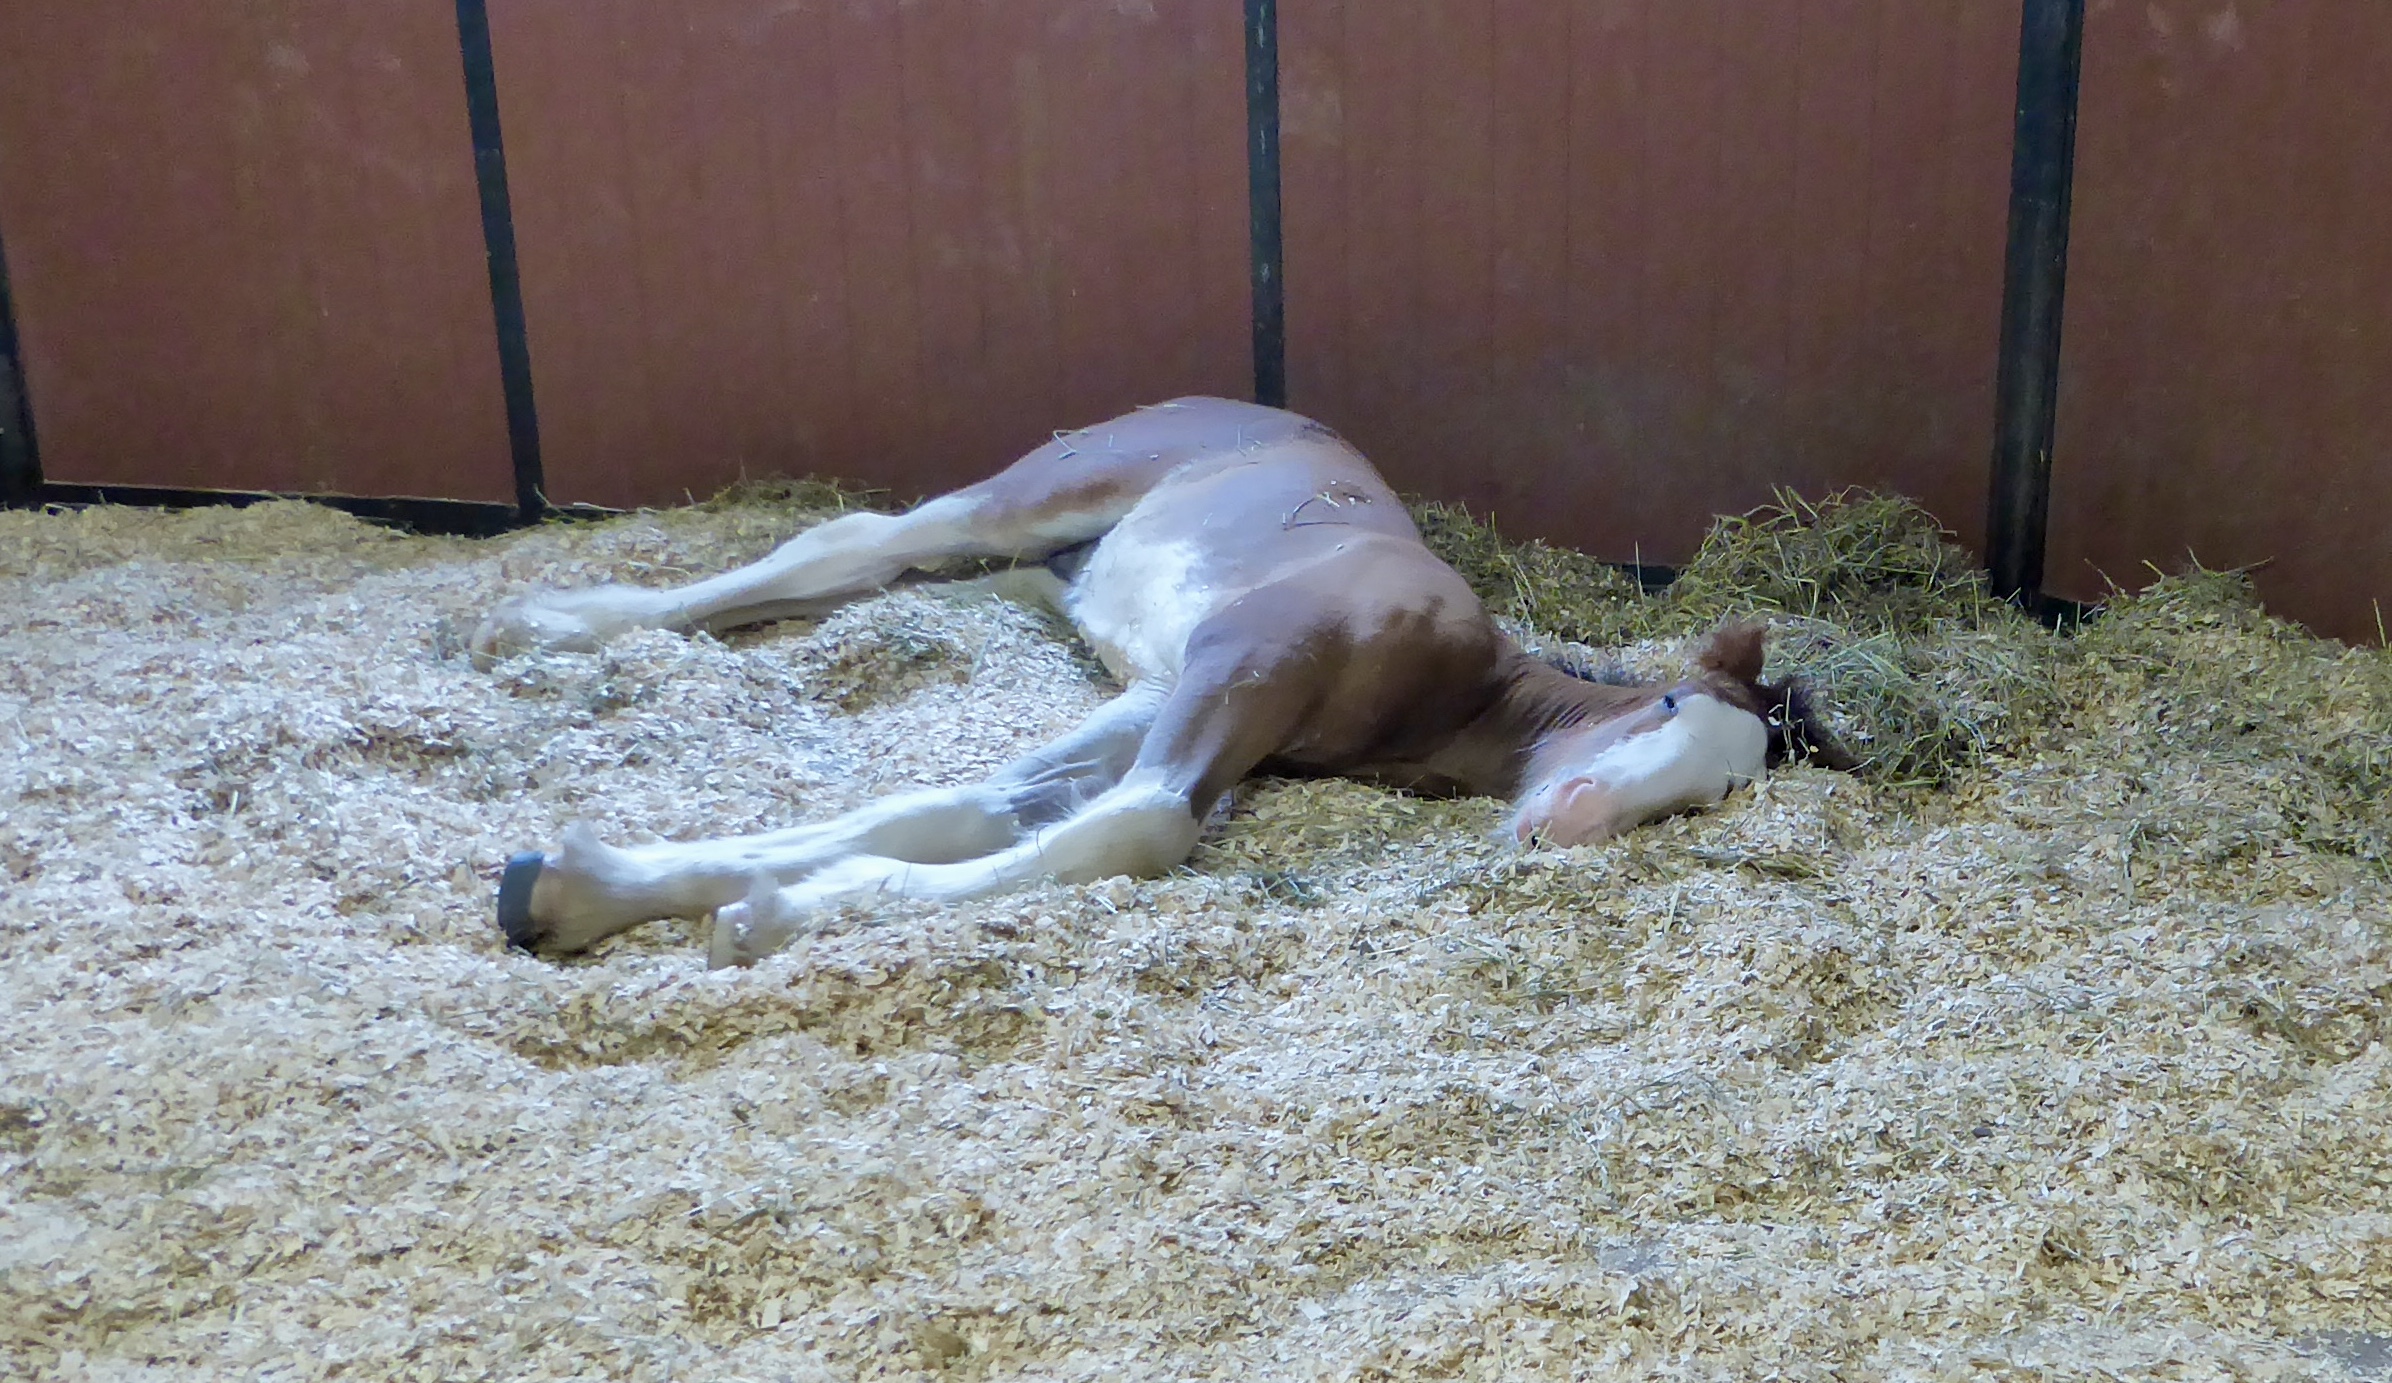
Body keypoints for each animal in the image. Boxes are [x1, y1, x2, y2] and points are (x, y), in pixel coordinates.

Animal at [473, 397, 1849, 968]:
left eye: (1712, 799)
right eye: (1664, 709)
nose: (1567, 820)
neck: (1446, 688)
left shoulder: (1168, 700)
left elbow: (963, 807)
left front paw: (588, 890)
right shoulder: (1241, 667)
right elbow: (1134, 828)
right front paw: (768, 916)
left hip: (1042, 574)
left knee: (863, 578)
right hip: (1039, 492)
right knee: (852, 541)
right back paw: (543, 623)